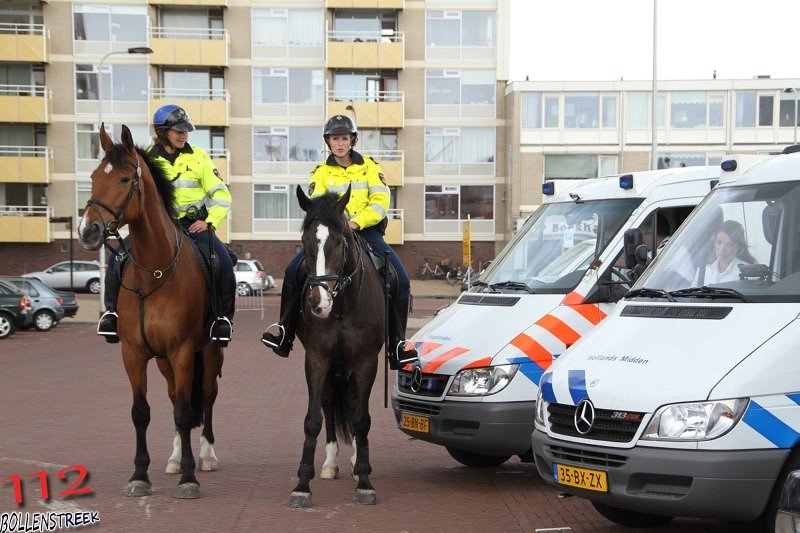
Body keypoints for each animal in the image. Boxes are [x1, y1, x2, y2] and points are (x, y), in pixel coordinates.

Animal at [77, 125, 222, 498]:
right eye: (94, 177)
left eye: (126, 179)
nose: (87, 230)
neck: (154, 270)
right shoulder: (134, 353)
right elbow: (142, 412)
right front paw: (140, 475)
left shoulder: (182, 350)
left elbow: (186, 412)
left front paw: (189, 478)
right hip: (163, 362)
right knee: (174, 398)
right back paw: (174, 458)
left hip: (208, 352)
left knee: (206, 398)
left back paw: (206, 455)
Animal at [290, 186, 384, 508]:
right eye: (304, 241)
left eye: (340, 240)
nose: (319, 303)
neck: (342, 306)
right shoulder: (317, 358)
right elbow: (312, 420)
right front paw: (302, 485)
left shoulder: (367, 360)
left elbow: (361, 418)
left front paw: (365, 481)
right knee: (330, 402)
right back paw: (331, 463)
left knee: (354, 403)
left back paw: (356, 464)